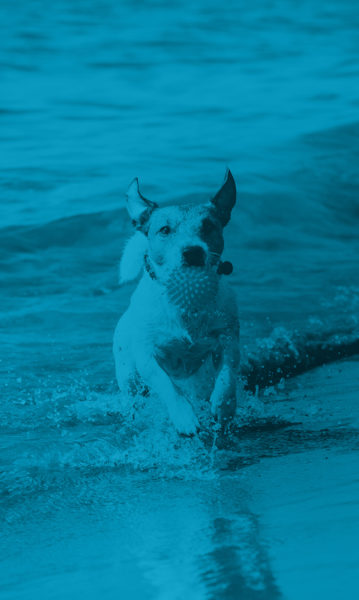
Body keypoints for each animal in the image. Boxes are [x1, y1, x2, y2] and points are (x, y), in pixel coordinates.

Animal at [114, 171, 240, 434]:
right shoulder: (147, 355)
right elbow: (167, 387)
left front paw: (223, 407)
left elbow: (227, 376)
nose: (192, 251)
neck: (186, 303)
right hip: (128, 374)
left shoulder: (228, 338)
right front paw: (184, 417)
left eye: (208, 226)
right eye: (164, 229)